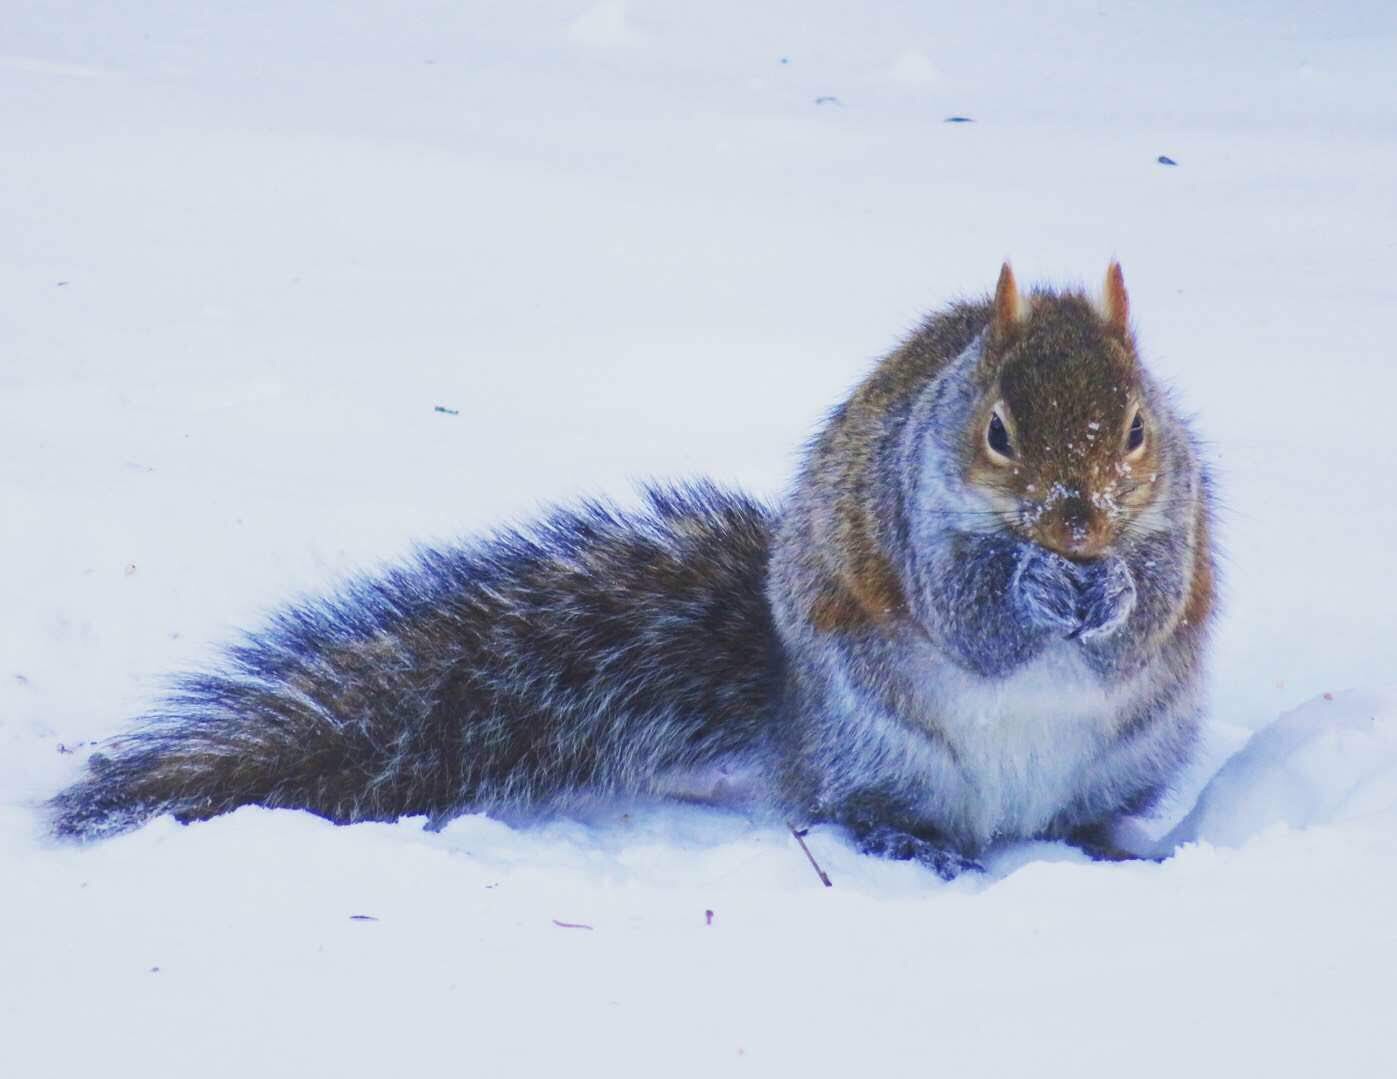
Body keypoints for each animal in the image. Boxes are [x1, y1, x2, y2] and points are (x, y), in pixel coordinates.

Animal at [49, 261, 1212, 877]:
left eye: (1137, 428)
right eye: (997, 432)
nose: (1075, 522)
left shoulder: (1184, 516)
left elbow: (1156, 608)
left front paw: (1115, 593)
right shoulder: (906, 514)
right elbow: (965, 614)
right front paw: (1026, 591)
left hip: (1130, 755)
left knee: (1073, 816)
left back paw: (1113, 847)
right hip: (879, 743)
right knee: (847, 806)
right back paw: (909, 838)